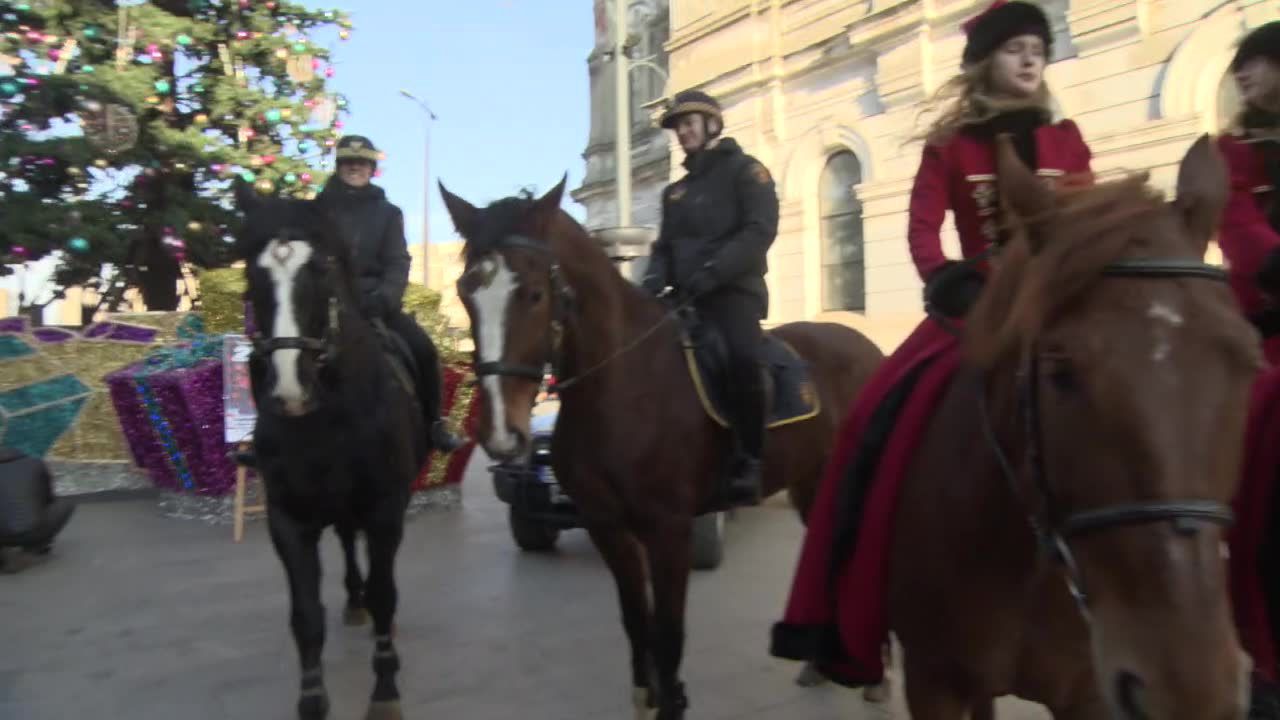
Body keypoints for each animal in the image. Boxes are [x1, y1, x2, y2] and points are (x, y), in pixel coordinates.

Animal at [234, 181, 424, 712]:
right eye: (252, 272)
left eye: (320, 269)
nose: (290, 389)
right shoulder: (288, 518)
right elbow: (305, 614)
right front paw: (313, 701)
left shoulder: (385, 507)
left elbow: (386, 593)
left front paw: (385, 688)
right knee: (344, 540)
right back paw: (354, 602)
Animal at [440, 180, 880, 717]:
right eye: (466, 292)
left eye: (534, 293)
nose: (505, 434)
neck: (622, 385)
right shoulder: (609, 527)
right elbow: (637, 622)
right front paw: (647, 698)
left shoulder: (670, 528)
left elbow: (669, 632)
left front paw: (672, 700)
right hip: (813, 482)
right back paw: (819, 664)